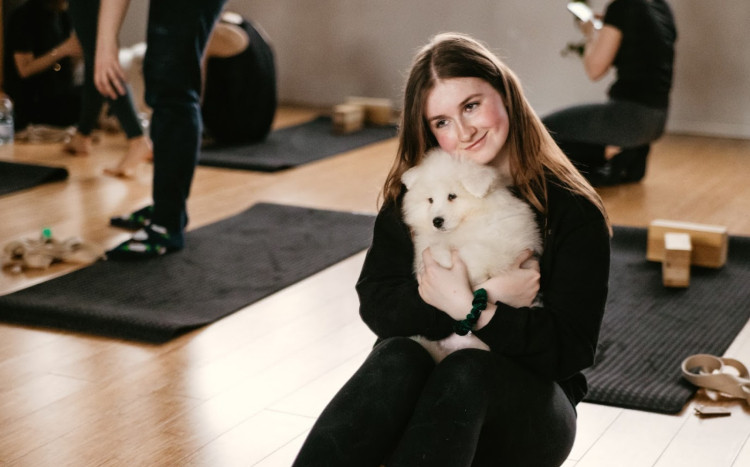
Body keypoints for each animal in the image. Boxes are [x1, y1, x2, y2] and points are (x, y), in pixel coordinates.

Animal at [401, 148, 542, 361]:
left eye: (452, 196)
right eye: (430, 200)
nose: (436, 221)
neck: (467, 222)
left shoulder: (500, 243)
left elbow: (472, 254)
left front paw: (448, 263)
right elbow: (433, 248)